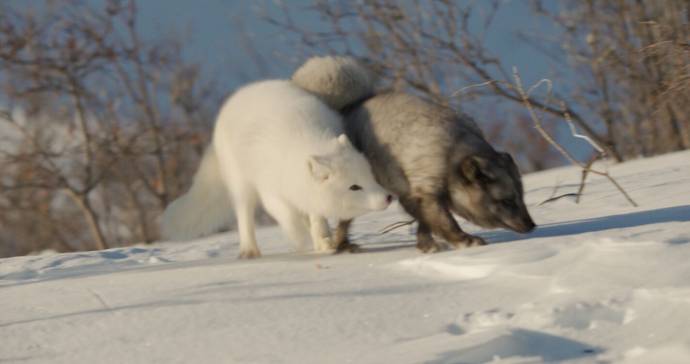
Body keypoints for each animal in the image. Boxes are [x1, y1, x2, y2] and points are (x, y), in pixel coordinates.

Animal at [158, 80, 390, 258]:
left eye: (371, 177)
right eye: (354, 187)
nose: (388, 197)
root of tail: (237, 96)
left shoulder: (308, 194)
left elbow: (316, 217)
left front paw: (323, 242)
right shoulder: (271, 193)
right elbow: (290, 219)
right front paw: (305, 240)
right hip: (242, 185)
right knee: (244, 216)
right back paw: (250, 251)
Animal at [290, 56, 532, 253]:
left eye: (521, 196)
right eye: (507, 200)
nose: (531, 225)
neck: (451, 153)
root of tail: (348, 106)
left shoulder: (413, 195)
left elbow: (425, 223)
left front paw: (427, 246)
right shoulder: (423, 191)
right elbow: (445, 222)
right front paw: (466, 241)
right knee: (344, 220)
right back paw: (341, 245)